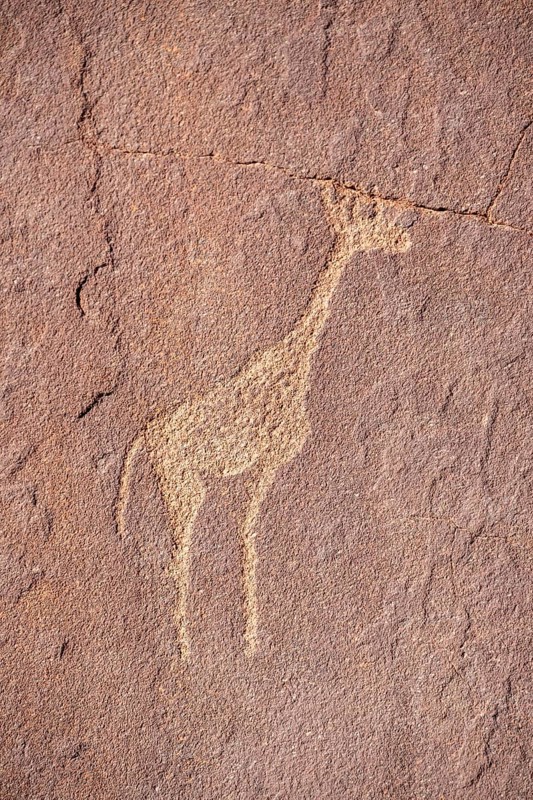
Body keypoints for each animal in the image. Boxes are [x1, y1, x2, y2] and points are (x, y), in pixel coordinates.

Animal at [116, 182, 411, 660]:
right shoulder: (270, 459)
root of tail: (144, 436)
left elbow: (242, 530)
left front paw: (244, 635)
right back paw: (183, 647)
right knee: (179, 550)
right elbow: (248, 530)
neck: (293, 365)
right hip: (184, 484)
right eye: (375, 226)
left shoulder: (259, 466)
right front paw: (251, 636)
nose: (405, 240)